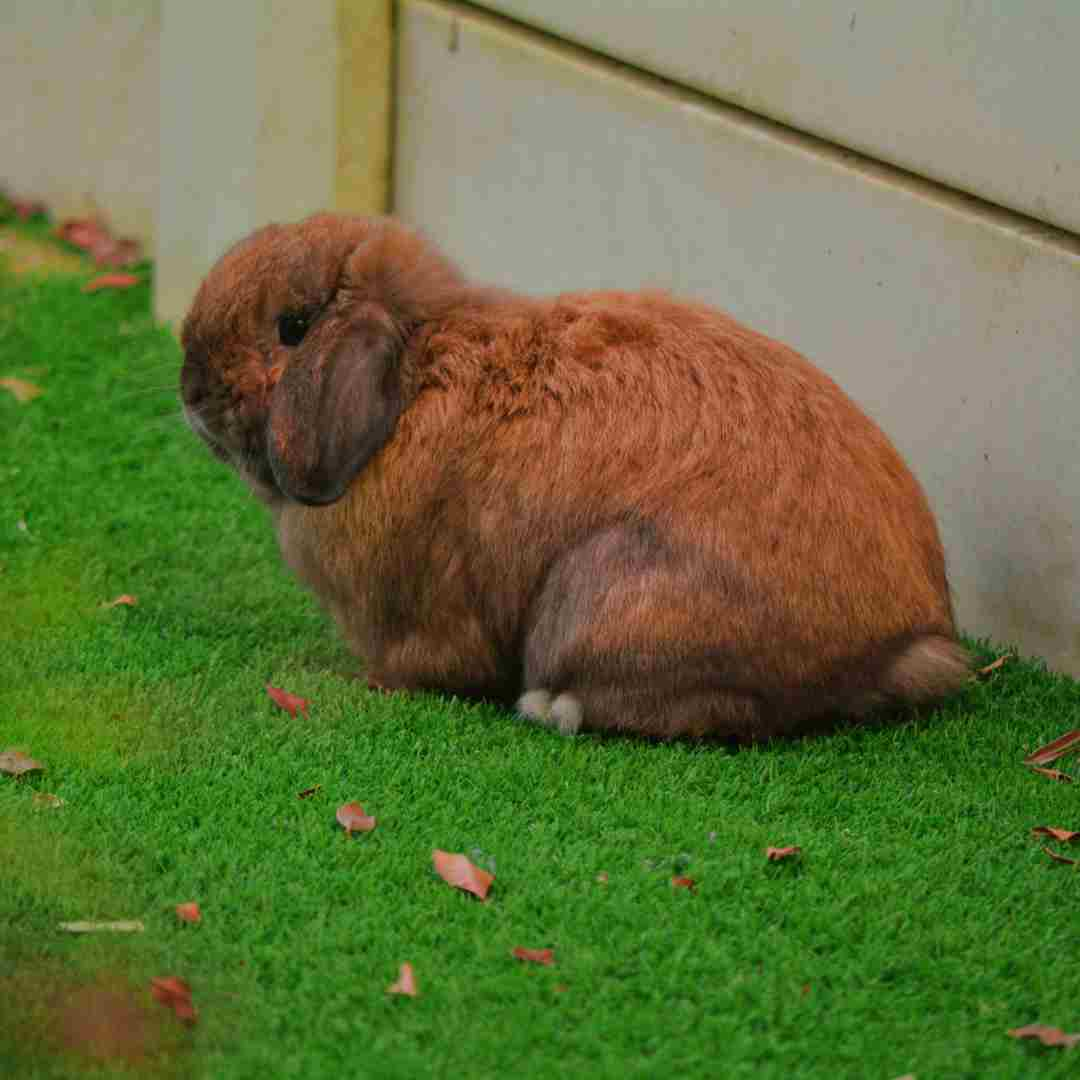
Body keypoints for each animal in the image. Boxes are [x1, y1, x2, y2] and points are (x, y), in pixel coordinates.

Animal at [179, 217, 972, 743]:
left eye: (293, 326)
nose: (190, 390)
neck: (407, 387)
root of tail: (903, 641)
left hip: (608, 594)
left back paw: (549, 706)